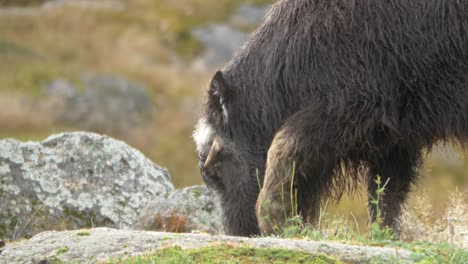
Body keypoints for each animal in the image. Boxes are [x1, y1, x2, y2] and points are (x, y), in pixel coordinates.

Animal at [192, 0, 468, 236]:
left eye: (217, 162)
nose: (241, 232)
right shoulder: (392, 137)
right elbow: (385, 194)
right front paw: (384, 236)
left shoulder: (344, 108)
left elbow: (284, 144)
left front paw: (273, 219)